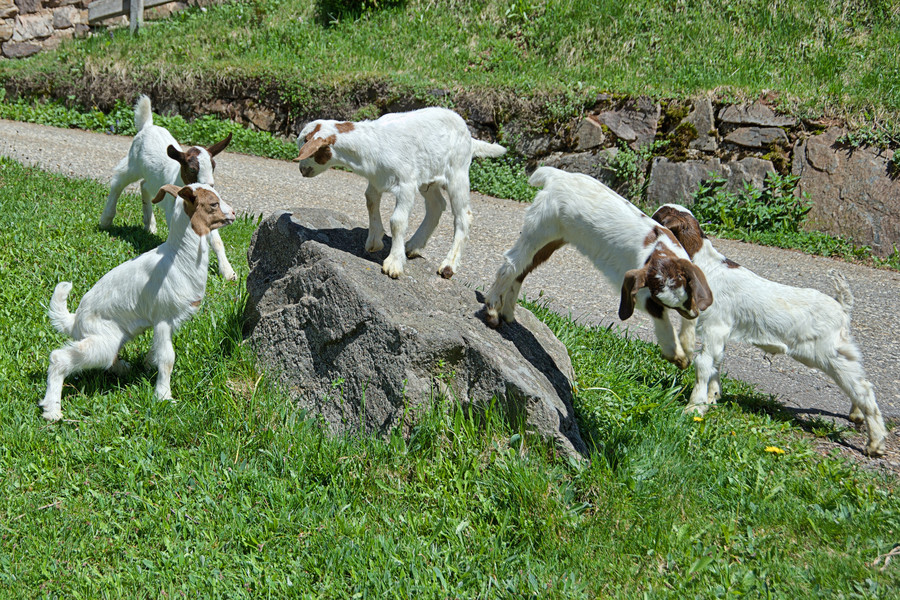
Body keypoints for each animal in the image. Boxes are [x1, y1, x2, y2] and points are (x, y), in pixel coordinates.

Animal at [41, 183, 236, 421]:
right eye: (213, 204)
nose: (233, 213)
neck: (179, 258)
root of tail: (75, 320)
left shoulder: (170, 321)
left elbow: (157, 350)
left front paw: (148, 365)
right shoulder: (163, 318)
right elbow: (167, 357)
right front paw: (164, 396)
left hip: (117, 334)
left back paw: (124, 368)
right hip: (103, 339)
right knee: (59, 357)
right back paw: (52, 410)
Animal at [99, 95, 236, 280]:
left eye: (213, 166)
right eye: (192, 169)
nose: (209, 185)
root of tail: (148, 126)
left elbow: (216, 240)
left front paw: (228, 272)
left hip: (151, 178)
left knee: (144, 185)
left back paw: (149, 224)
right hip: (133, 163)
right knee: (118, 180)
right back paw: (106, 220)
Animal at [293, 107, 507, 279]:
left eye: (307, 148)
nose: (302, 170)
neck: (372, 144)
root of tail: (470, 136)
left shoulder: (406, 184)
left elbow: (397, 221)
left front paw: (394, 263)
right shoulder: (376, 181)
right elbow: (370, 202)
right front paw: (374, 241)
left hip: (457, 172)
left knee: (464, 216)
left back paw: (448, 266)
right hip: (428, 178)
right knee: (436, 206)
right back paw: (413, 246)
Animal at [483, 166, 713, 369]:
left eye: (685, 300)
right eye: (662, 302)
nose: (692, 313)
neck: (657, 250)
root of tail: (557, 175)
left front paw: (688, 345)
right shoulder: (640, 289)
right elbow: (657, 315)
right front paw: (677, 356)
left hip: (553, 237)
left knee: (523, 269)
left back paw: (508, 313)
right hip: (541, 225)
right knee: (512, 263)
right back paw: (493, 311)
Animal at [651, 203, 888, 457]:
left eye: (658, 219)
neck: (706, 265)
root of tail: (842, 306)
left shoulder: (716, 325)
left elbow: (704, 363)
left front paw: (694, 407)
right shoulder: (720, 332)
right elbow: (716, 362)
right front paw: (713, 397)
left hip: (828, 352)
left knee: (862, 387)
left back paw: (875, 443)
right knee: (859, 379)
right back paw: (857, 415)